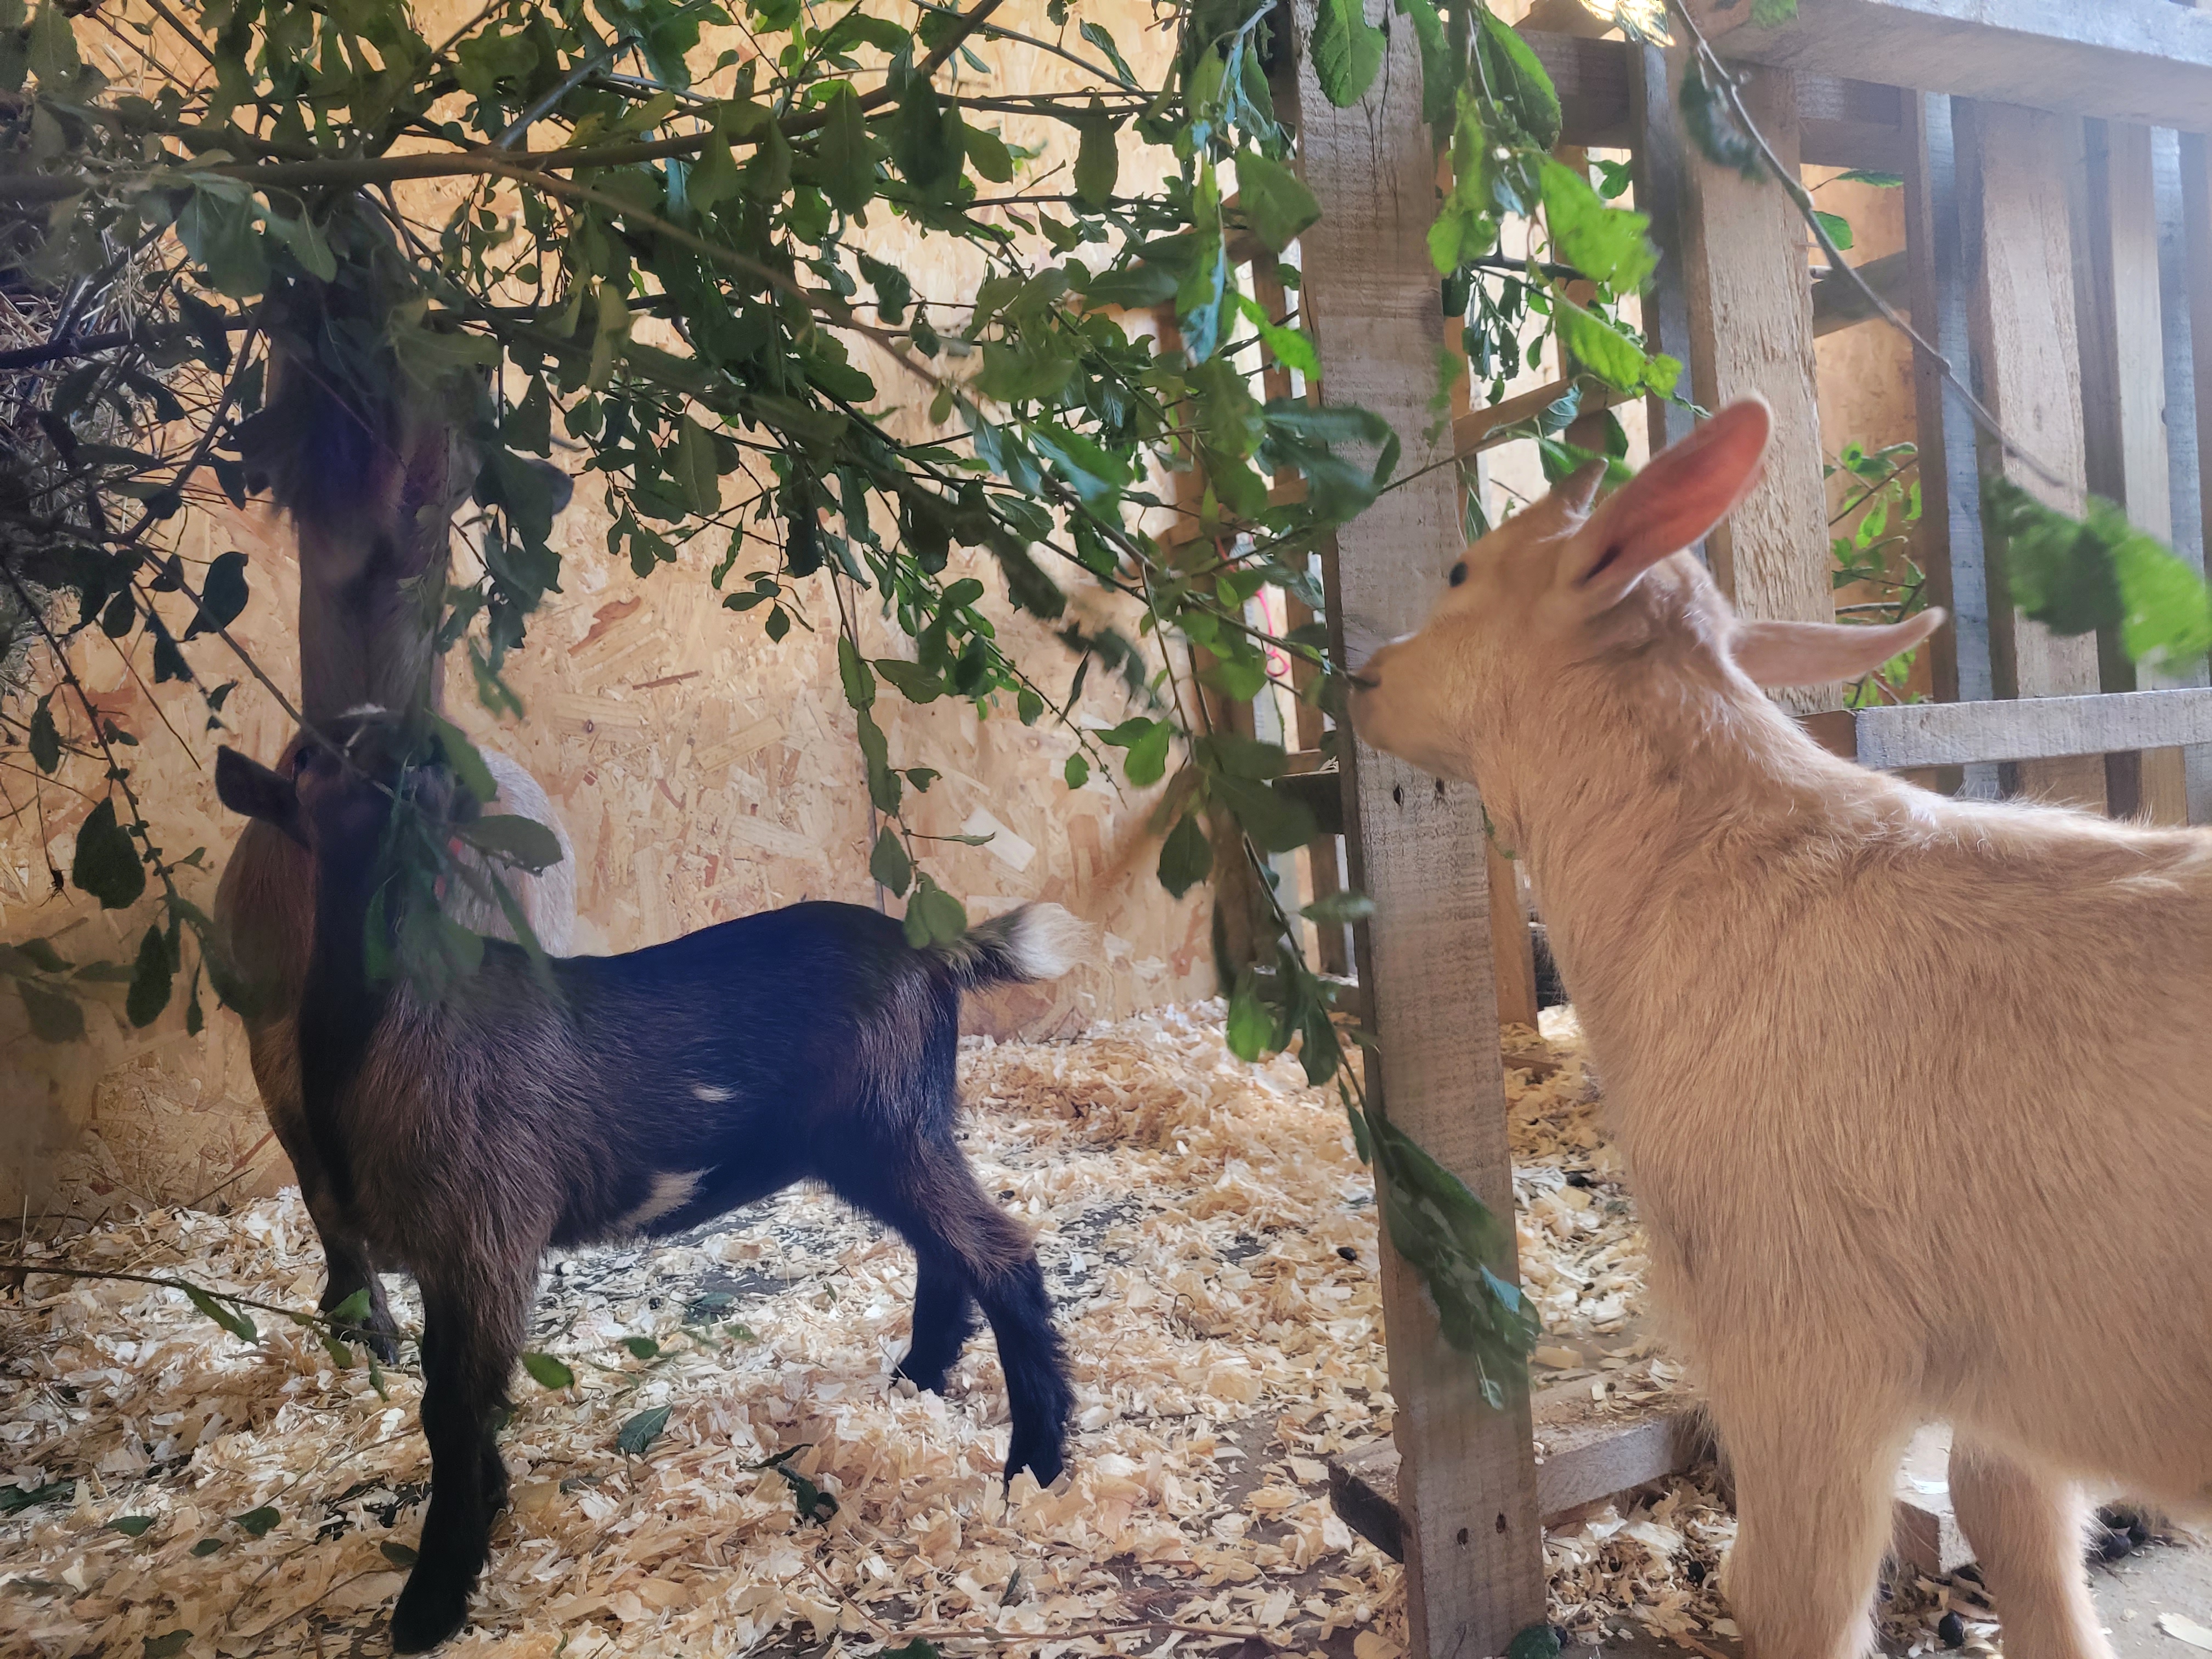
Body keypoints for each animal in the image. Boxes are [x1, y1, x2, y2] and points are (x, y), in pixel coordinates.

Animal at [216, 712, 1079, 1654]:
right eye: (311, 754)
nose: (422, 742)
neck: (398, 1016)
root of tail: (940, 952)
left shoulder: (485, 1232)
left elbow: (450, 1405)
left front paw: (433, 1599)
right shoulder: (452, 1256)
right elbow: (458, 1390)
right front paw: (486, 1505)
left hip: (885, 1130)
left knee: (1000, 1251)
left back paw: (1036, 1460)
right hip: (894, 1136)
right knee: (948, 1247)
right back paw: (921, 1375)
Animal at [1345, 402, 2212, 1659]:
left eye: (1460, 570)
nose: (1359, 678)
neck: (1712, 875)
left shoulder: (1796, 1333)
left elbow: (1794, 1591)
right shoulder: (2021, 1366)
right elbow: (2016, 1528)